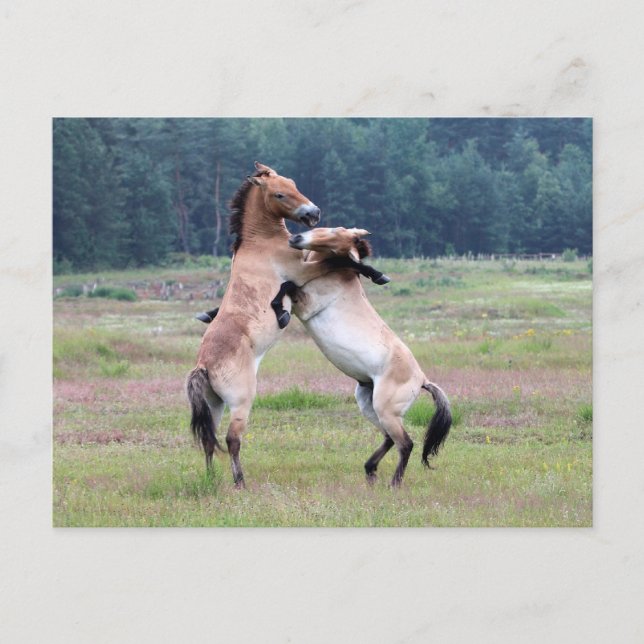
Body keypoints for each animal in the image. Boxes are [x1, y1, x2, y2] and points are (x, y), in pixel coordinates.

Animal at [186, 163, 387, 488]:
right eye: (279, 193)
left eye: (293, 184)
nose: (314, 212)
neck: (261, 243)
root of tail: (202, 366)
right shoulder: (303, 271)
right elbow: (339, 262)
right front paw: (376, 273)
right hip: (240, 402)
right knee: (231, 439)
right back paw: (239, 483)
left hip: (214, 405)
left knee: (208, 440)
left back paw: (211, 479)